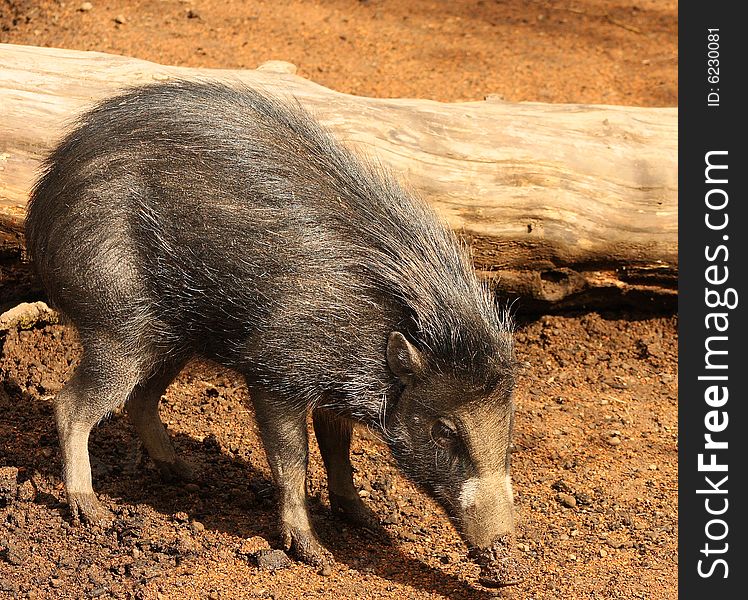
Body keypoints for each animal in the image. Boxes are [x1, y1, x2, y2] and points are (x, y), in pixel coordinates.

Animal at [26, 82, 524, 584]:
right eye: (444, 429)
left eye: (508, 421)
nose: (505, 557)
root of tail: (40, 216)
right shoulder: (276, 373)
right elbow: (294, 460)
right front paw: (315, 553)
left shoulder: (332, 390)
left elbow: (337, 450)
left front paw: (365, 519)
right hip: (120, 326)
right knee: (71, 405)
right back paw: (93, 512)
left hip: (173, 339)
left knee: (141, 400)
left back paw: (188, 472)